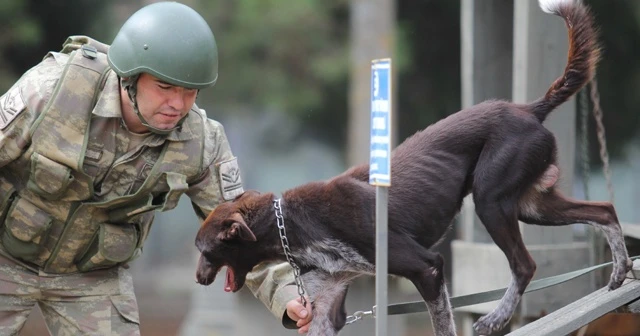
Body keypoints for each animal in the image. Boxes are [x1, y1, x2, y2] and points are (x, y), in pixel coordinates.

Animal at [194, 1, 632, 334]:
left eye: (205, 249)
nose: (198, 278)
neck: (292, 223)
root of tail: (529, 109)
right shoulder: (328, 303)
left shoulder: (427, 267)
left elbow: (443, 323)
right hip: (532, 205)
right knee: (604, 211)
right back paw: (620, 271)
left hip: (492, 201)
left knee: (525, 264)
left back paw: (495, 317)